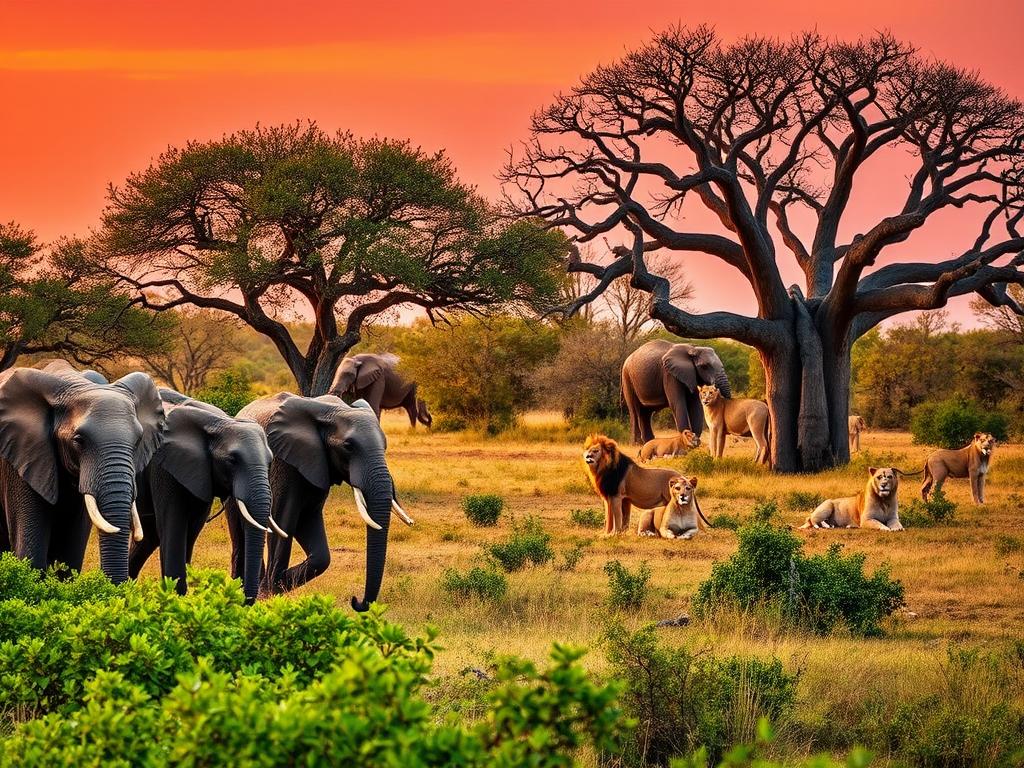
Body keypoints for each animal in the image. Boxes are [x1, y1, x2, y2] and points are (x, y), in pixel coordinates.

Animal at [0, 366, 166, 583]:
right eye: (79, 440)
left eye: (138, 441)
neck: (73, 383)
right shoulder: (22, 456)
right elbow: (31, 555)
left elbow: (70, 558)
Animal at [128, 393, 283, 603]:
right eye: (232, 461)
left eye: (270, 461)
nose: (244, 600)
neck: (220, 423)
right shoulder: (164, 468)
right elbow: (174, 526)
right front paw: (175, 600)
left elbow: (192, 529)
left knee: (148, 537)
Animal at [229, 392, 413, 610]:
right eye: (348, 447)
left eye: (384, 445)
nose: (355, 600)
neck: (330, 412)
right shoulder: (284, 462)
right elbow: (282, 521)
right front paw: (271, 592)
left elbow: (315, 536)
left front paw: (281, 584)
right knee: (239, 534)